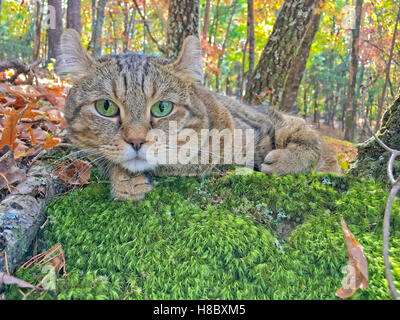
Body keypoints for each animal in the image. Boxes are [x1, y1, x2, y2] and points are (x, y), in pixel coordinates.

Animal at [54, 29, 340, 200]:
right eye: (106, 107)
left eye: (162, 108)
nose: (136, 141)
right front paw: (123, 180)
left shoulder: (276, 121)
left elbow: (310, 140)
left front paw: (288, 162)